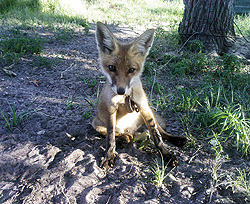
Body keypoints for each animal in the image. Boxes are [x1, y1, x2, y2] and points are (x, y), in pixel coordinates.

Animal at [92, 22, 186, 169]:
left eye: (131, 70)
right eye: (112, 68)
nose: (120, 91)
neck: (125, 98)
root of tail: (130, 129)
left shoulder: (143, 107)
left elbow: (157, 137)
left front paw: (166, 155)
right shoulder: (111, 109)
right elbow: (110, 137)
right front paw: (109, 156)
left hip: (149, 114)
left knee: (162, 132)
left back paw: (177, 139)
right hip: (96, 124)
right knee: (118, 134)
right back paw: (124, 138)